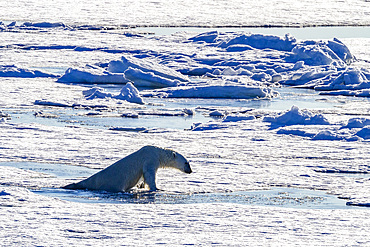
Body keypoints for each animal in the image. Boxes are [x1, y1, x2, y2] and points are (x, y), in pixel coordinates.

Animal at [62, 146, 192, 192]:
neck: (158, 153)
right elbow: (149, 175)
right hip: (109, 182)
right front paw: (157, 188)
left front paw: (142, 186)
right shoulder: (150, 159)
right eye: (186, 162)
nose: (190, 171)